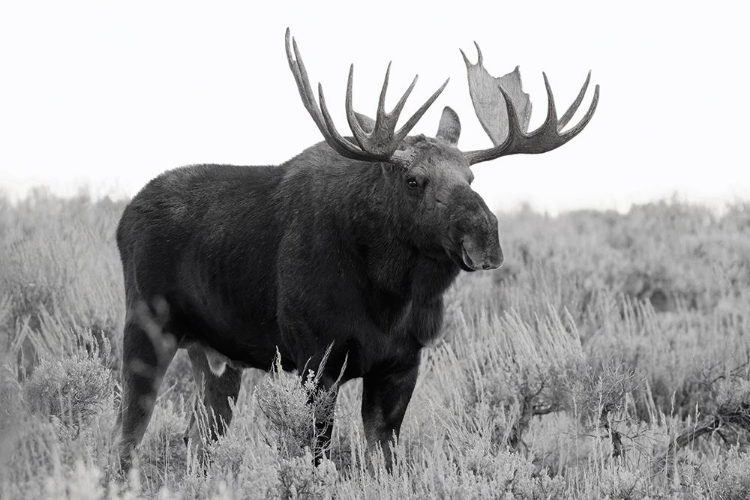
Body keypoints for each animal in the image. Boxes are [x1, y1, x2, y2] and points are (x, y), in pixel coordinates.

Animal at [114, 29, 604, 470]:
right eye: (413, 180)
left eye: (471, 177)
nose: (484, 237)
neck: (389, 295)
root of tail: (123, 218)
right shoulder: (316, 358)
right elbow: (318, 456)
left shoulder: (402, 362)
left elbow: (383, 459)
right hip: (146, 328)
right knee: (126, 433)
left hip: (215, 356)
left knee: (198, 436)